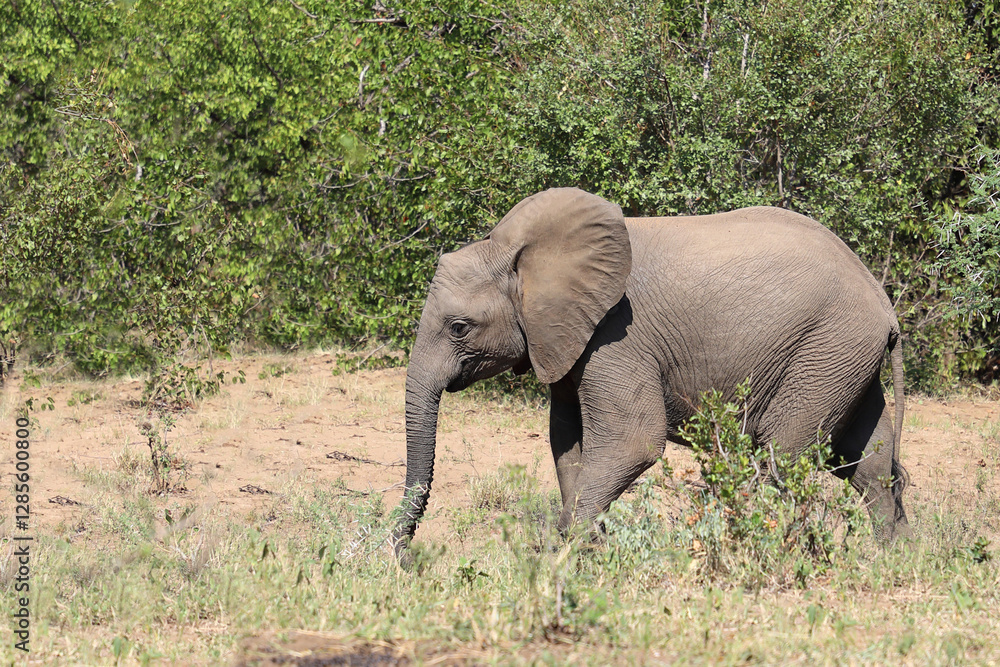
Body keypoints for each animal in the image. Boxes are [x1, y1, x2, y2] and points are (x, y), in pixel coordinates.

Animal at [391, 187, 910, 562]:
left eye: (459, 328)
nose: (407, 560)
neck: (522, 253)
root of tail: (884, 303)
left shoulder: (616, 338)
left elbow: (632, 442)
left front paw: (573, 556)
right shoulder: (567, 340)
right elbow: (566, 442)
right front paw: (589, 550)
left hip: (827, 349)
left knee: (782, 453)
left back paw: (766, 551)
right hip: (842, 359)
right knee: (868, 461)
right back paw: (892, 558)